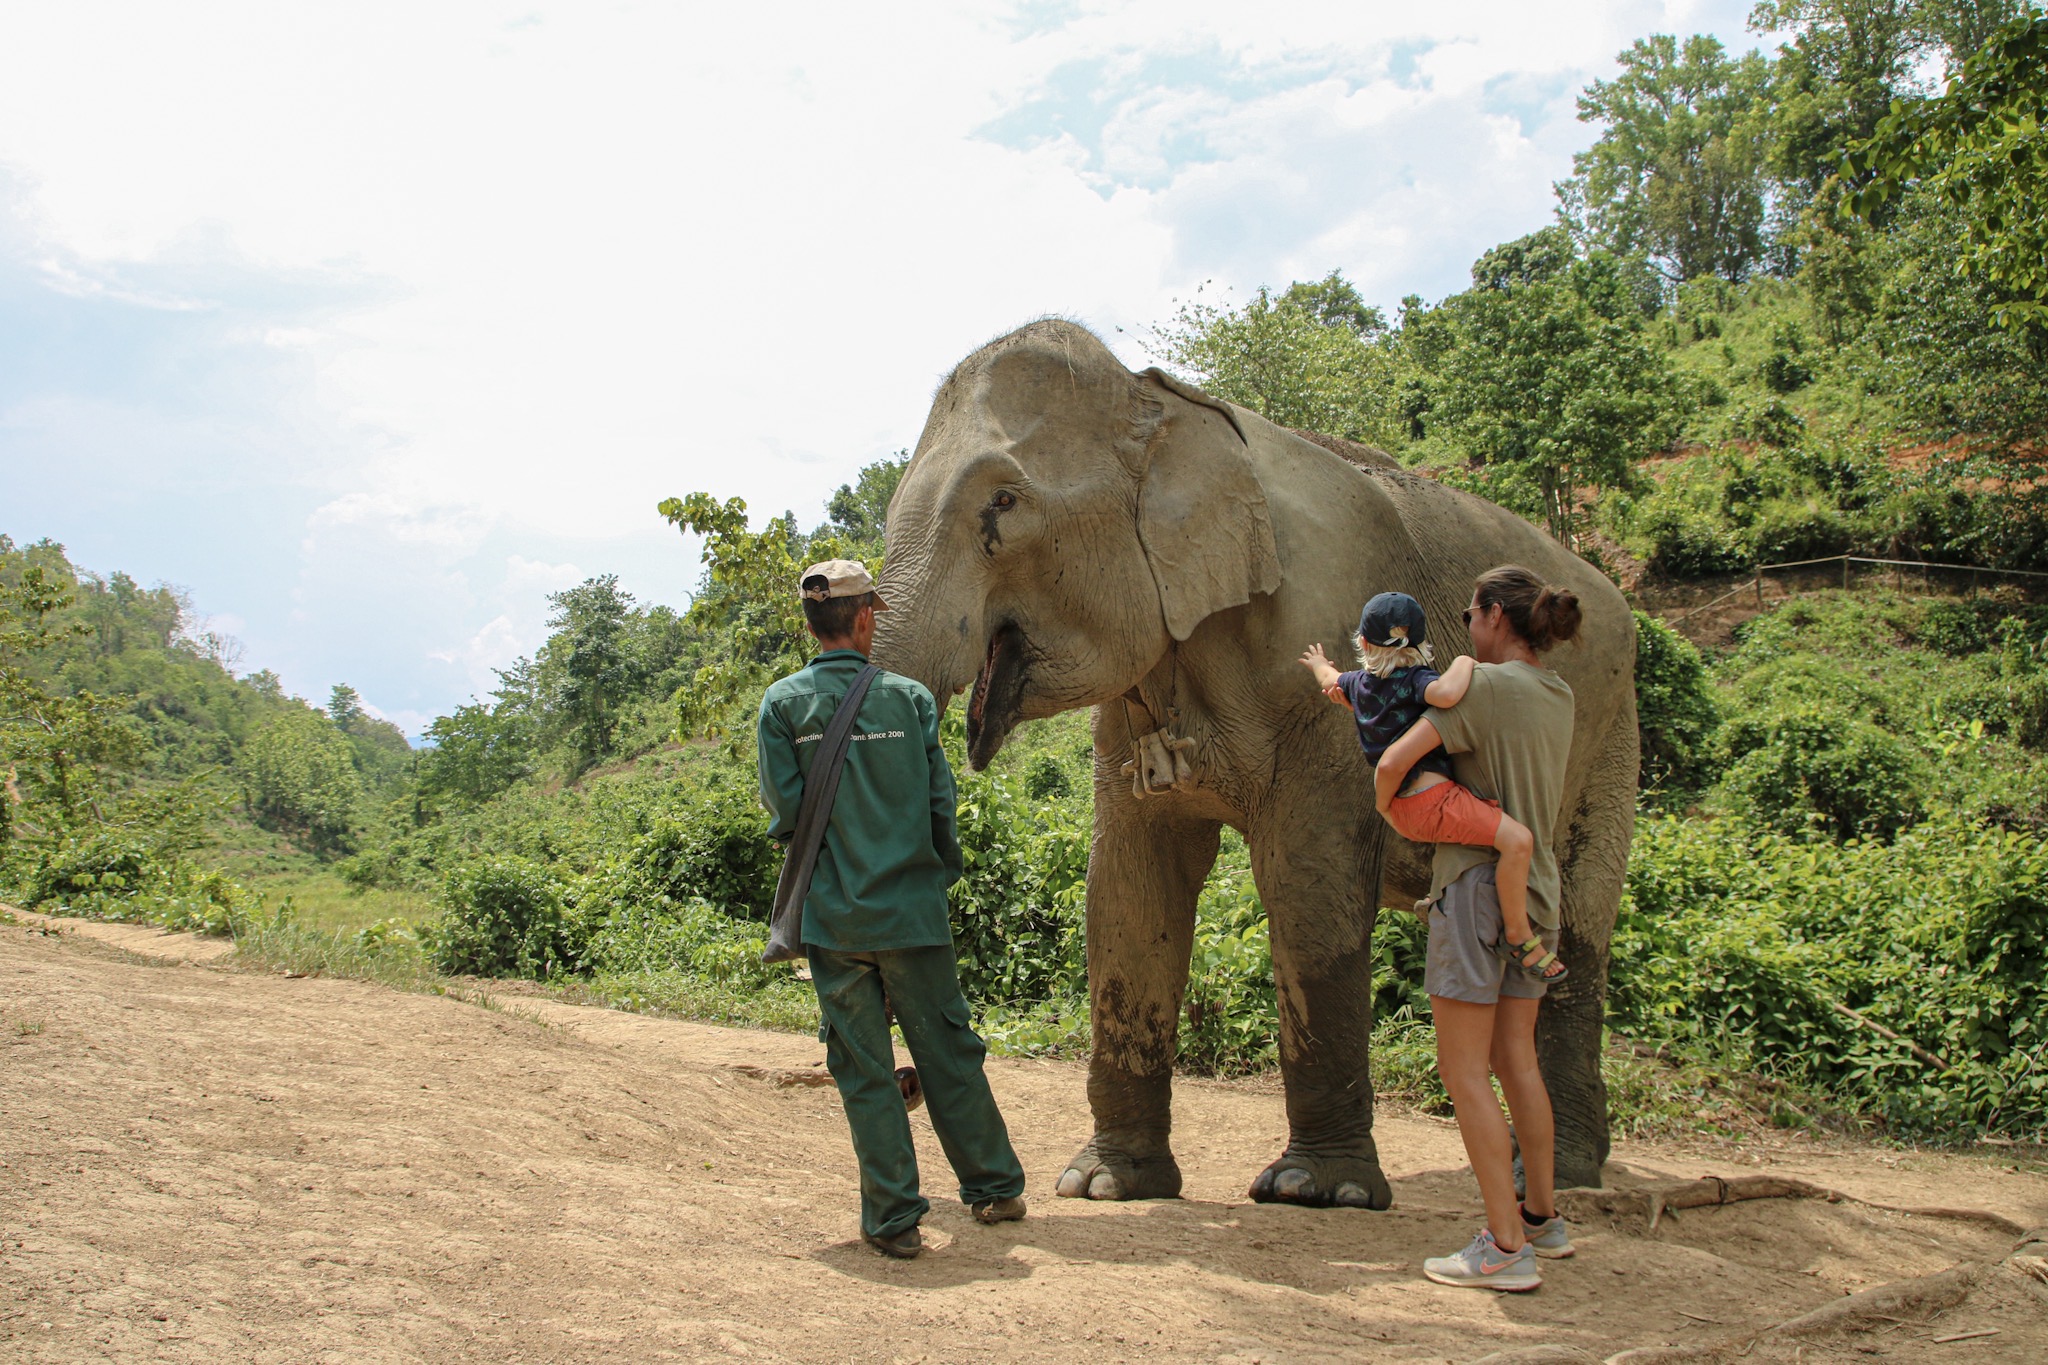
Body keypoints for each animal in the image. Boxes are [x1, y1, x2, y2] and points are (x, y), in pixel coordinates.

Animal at [872, 313, 1638, 1203]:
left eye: (1003, 502)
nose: (905, 1083)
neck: (1162, 402)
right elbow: (1129, 887)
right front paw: (1105, 1185)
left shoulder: (1328, 679)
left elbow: (1308, 882)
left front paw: (1316, 1190)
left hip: (1609, 728)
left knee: (1576, 925)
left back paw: (1562, 1176)